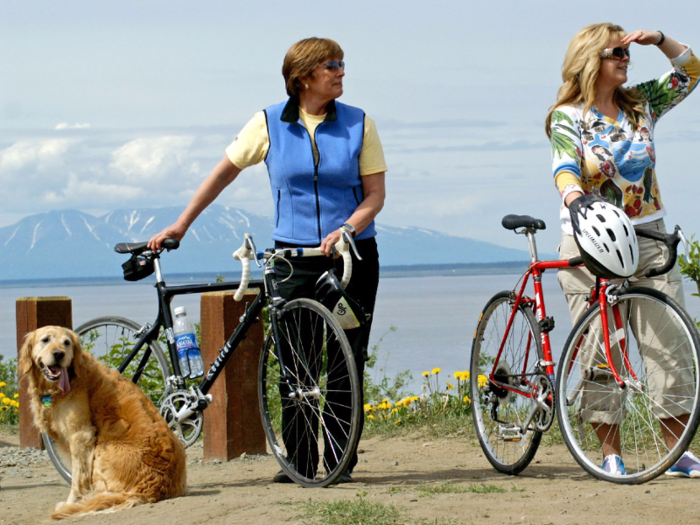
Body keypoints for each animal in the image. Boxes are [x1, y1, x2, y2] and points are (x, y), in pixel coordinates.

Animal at [19, 326, 186, 516]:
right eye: (45, 340)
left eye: (66, 343)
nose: (59, 354)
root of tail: (154, 487)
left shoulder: (81, 435)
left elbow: (78, 478)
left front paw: (72, 502)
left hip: (103, 448)